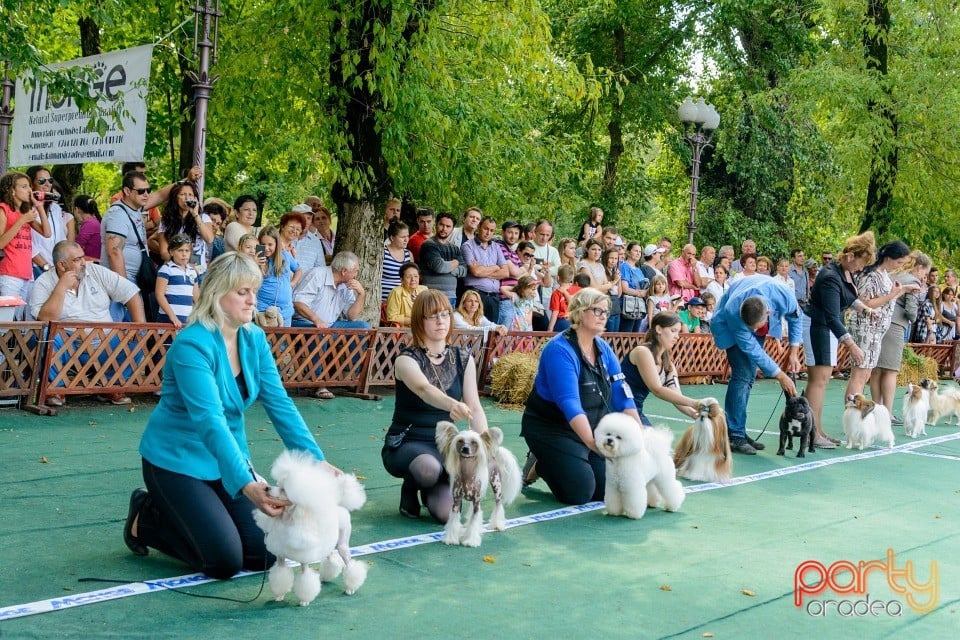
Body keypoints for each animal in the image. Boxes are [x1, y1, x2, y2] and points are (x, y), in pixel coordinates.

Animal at [253, 450, 370, 604]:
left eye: (284, 490)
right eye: (277, 484)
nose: (267, 488)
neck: (288, 519)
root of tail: (340, 506)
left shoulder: (304, 560)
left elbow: (305, 579)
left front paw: (304, 600)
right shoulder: (280, 557)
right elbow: (280, 574)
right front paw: (279, 595)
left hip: (343, 543)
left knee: (349, 564)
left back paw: (351, 587)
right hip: (328, 543)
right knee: (331, 558)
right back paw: (325, 577)